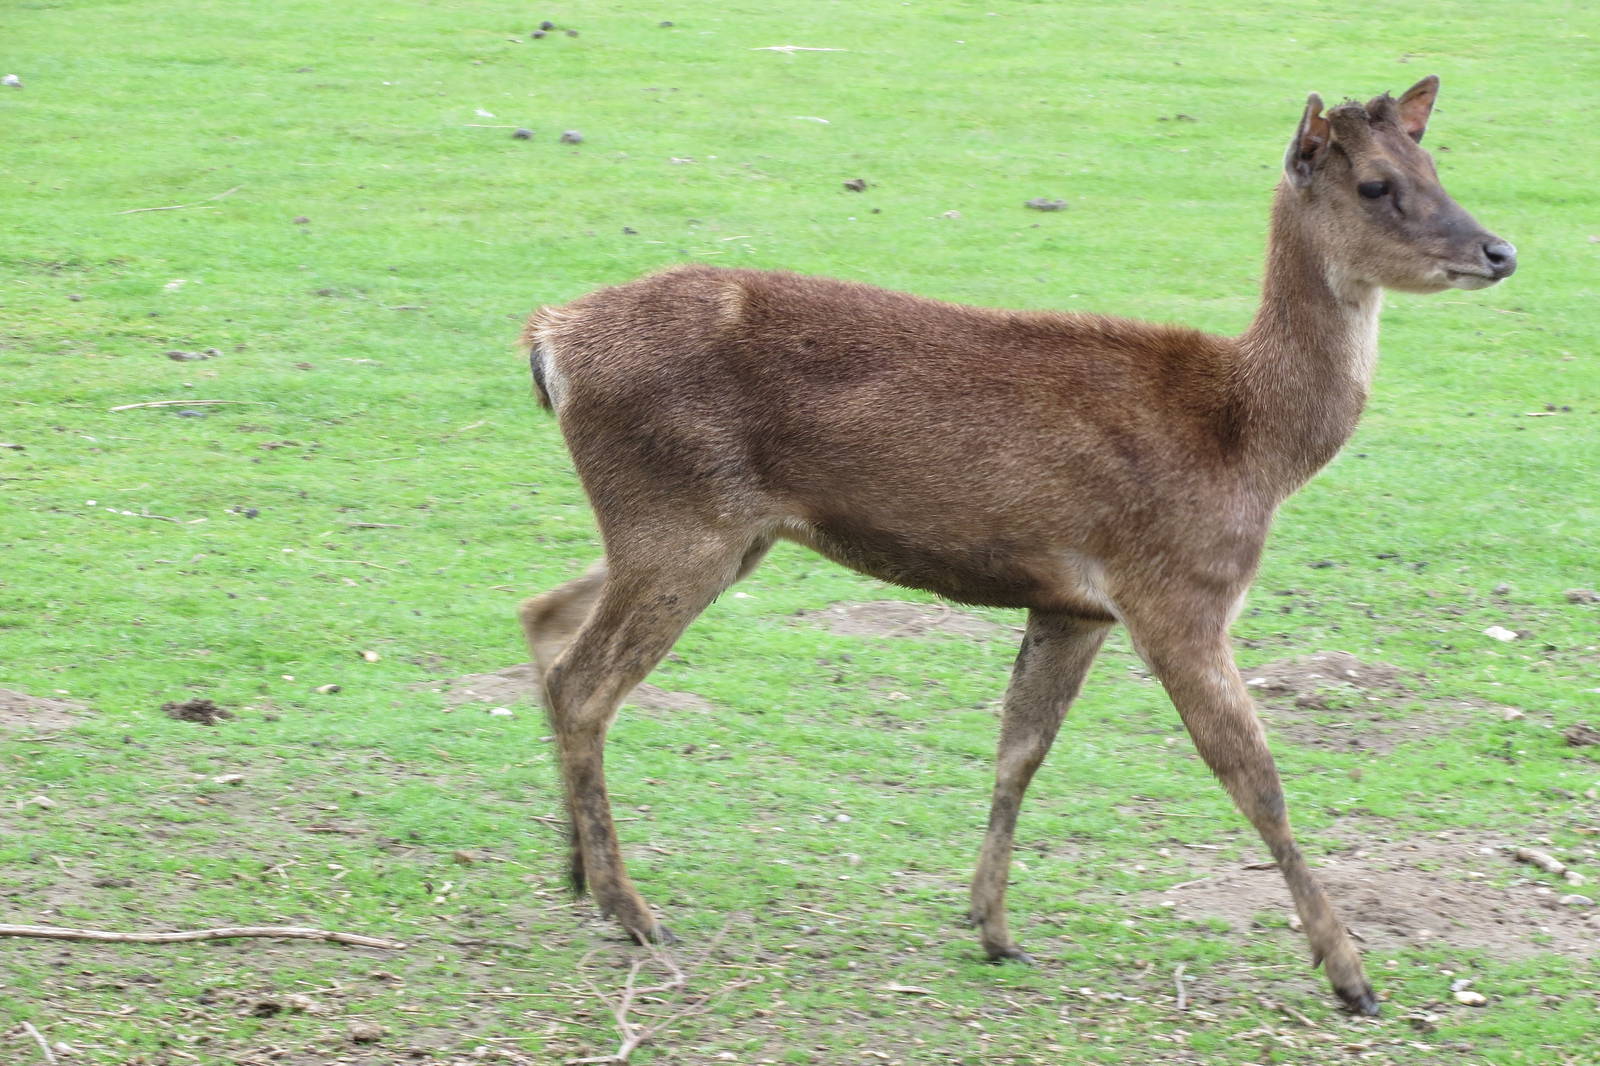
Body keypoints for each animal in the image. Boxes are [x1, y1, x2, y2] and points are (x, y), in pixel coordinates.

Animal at [515, 76, 1515, 1016]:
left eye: (1436, 165)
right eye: (1377, 184)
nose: (1498, 251)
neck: (1253, 444)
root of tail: (549, 340)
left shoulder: (1075, 604)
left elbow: (1020, 747)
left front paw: (991, 926)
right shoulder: (1179, 592)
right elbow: (1254, 776)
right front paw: (1352, 976)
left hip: (709, 532)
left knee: (543, 617)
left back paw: (577, 870)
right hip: (681, 520)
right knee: (587, 682)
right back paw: (631, 908)